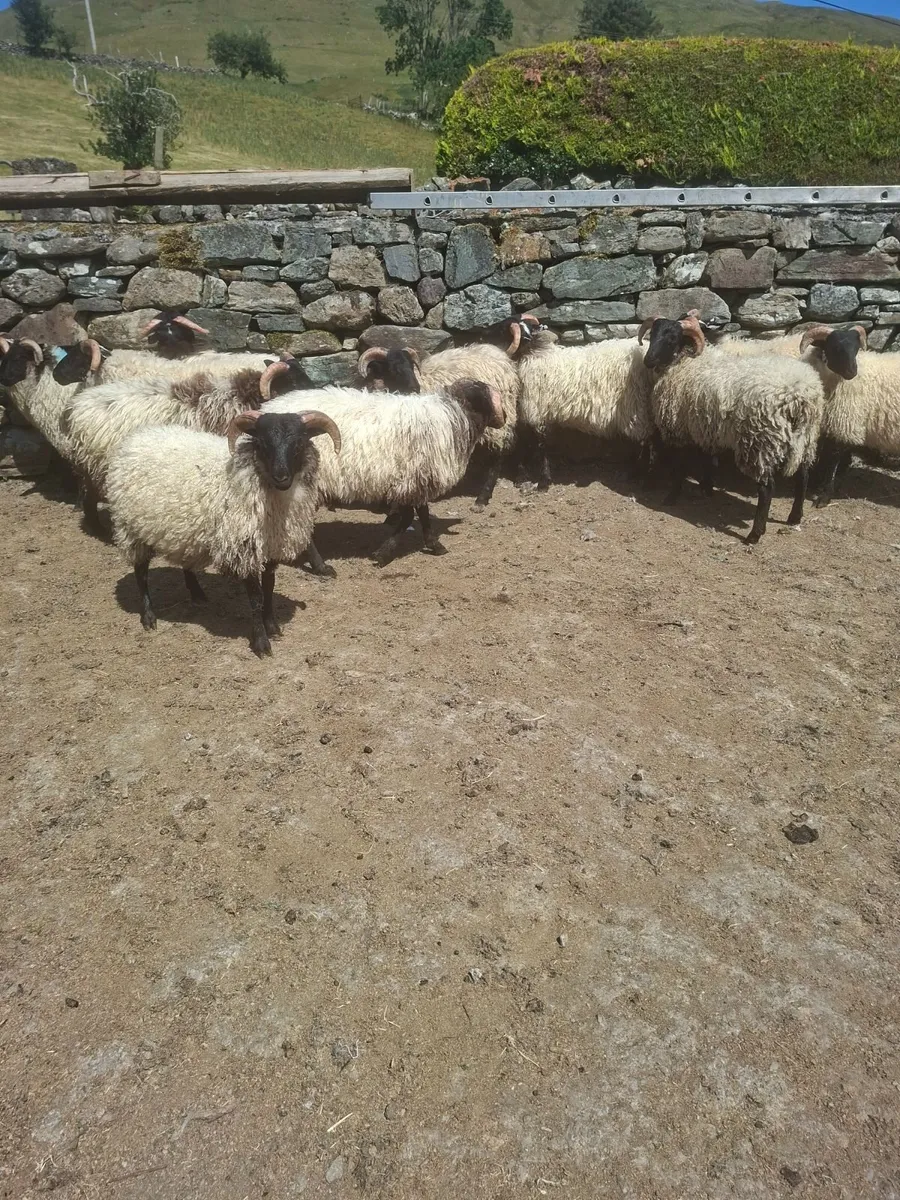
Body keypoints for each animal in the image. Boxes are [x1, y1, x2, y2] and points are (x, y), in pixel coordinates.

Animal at [106, 408, 341, 657]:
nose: (281, 477)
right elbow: (256, 598)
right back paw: (149, 617)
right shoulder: (244, 547)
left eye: (299, 443)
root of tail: (136, 437)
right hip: (131, 528)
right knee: (141, 573)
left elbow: (269, 588)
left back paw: (197, 594)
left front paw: (272, 625)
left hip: (183, 529)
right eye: (262, 443)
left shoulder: (270, 547)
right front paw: (261, 642)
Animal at [263, 378, 504, 566]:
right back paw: (320, 565)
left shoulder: (416, 480)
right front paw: (383, 554)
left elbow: (422, 514)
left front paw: (431, 544)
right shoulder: (412, 481)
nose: (502, 421)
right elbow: (410, 517)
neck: (454, 416)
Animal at [640, 314, 825, 544]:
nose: (648, 360)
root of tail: (798, 395)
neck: (685, 363)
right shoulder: (706, 427)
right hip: (806, 438)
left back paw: (754, 534)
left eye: (672, 337)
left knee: (767, 488)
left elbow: (680, 467)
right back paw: (795, 517)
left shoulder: (680, 429)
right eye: (653, 334)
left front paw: (672, 496)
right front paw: (707, 488)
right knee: (803, 476)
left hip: (759, 441)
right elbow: (709, 460)